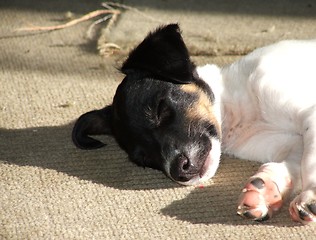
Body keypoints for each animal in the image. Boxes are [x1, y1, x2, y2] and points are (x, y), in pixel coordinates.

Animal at [72, 23, 316, 224]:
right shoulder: (288, 143)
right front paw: (265, 192)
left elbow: (309, 163)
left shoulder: (310, 115)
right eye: (144, 159)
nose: (179, 171)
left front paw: (309, 196)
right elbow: (289, 166)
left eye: (160, 108)